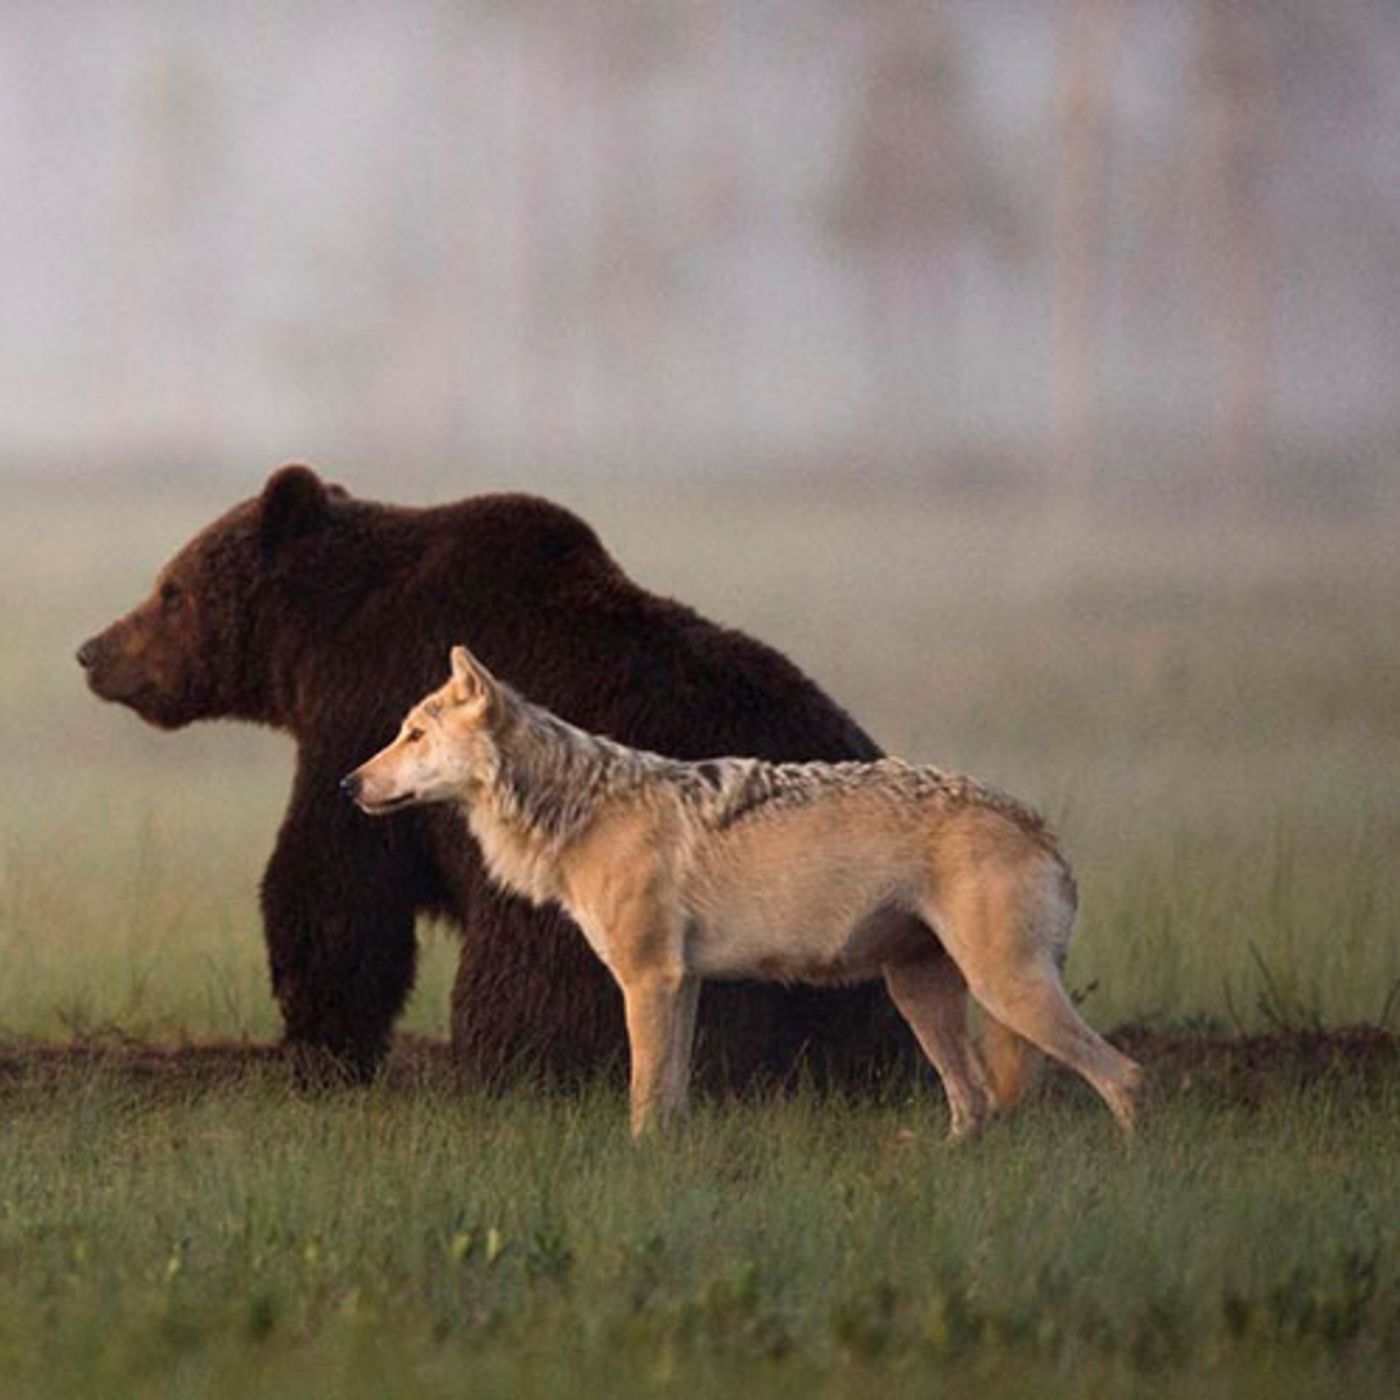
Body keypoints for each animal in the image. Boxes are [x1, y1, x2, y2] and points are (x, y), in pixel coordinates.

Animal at [344, 646, 1143, 1140]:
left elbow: (644, 1096)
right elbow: (670, 1097)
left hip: (1006, 992)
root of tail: (1039, 824)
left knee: (1126, 1077)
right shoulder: (682, 983)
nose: (348, 784)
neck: (582, 810)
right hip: (923, 997)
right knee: (975, 1104)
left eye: (412, 736)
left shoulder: (649, 980)